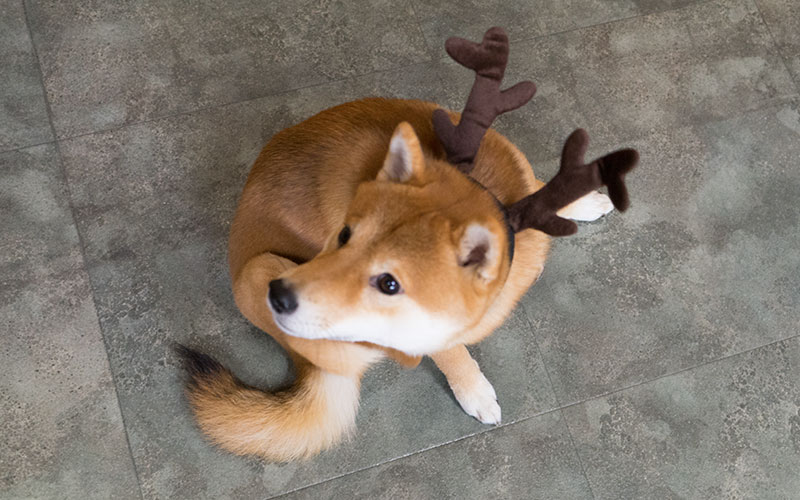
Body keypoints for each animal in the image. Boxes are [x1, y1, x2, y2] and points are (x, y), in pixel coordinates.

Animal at [177, 27, 636, 460]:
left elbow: (543, 186)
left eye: (389, 281)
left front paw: (583, 202)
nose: (281, 296)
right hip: (262, 270)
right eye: (343, 235)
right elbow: (453, 355)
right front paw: (474, 391)